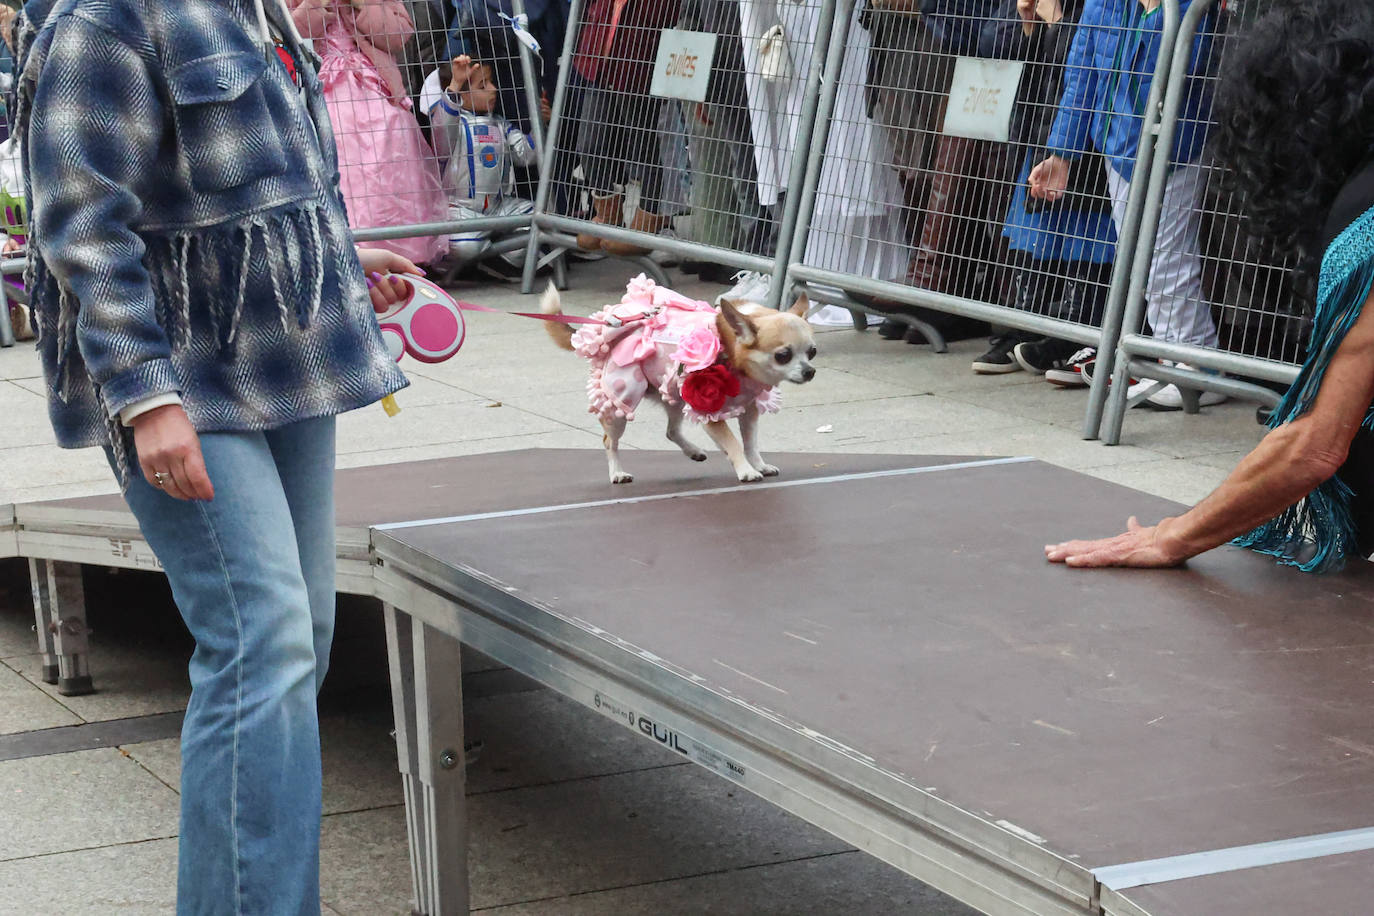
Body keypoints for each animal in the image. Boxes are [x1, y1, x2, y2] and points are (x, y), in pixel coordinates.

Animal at [535, 277, 813, 486]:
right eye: (783, 355)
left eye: (812, 352)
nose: (810, 371)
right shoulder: (709, 414)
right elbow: (733, 442)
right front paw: (745, 470)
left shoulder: (749, 411)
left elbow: (750, 442)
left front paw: (759, 465)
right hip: (621, 402)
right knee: (609, 441)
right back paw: (617, 473)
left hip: (675, 394)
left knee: (671, 431)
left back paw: (693, 451)